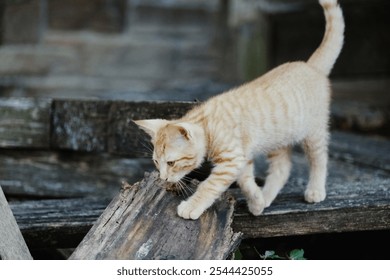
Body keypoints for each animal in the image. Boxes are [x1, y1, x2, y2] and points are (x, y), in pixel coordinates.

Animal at [134, 0, 344, 219]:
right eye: (156, 162)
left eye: (171, 163)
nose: (164, 178)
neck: (208, 124)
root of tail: (309, 66)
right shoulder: (241, 158)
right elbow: (245, 181)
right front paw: (257, 201)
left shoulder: (232, 159)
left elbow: (209, 185)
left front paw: (192, 206)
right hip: (278, 139)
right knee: (283, 168)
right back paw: (266, 196)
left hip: (313, 132)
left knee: (319, 158)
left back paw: (315, 190)